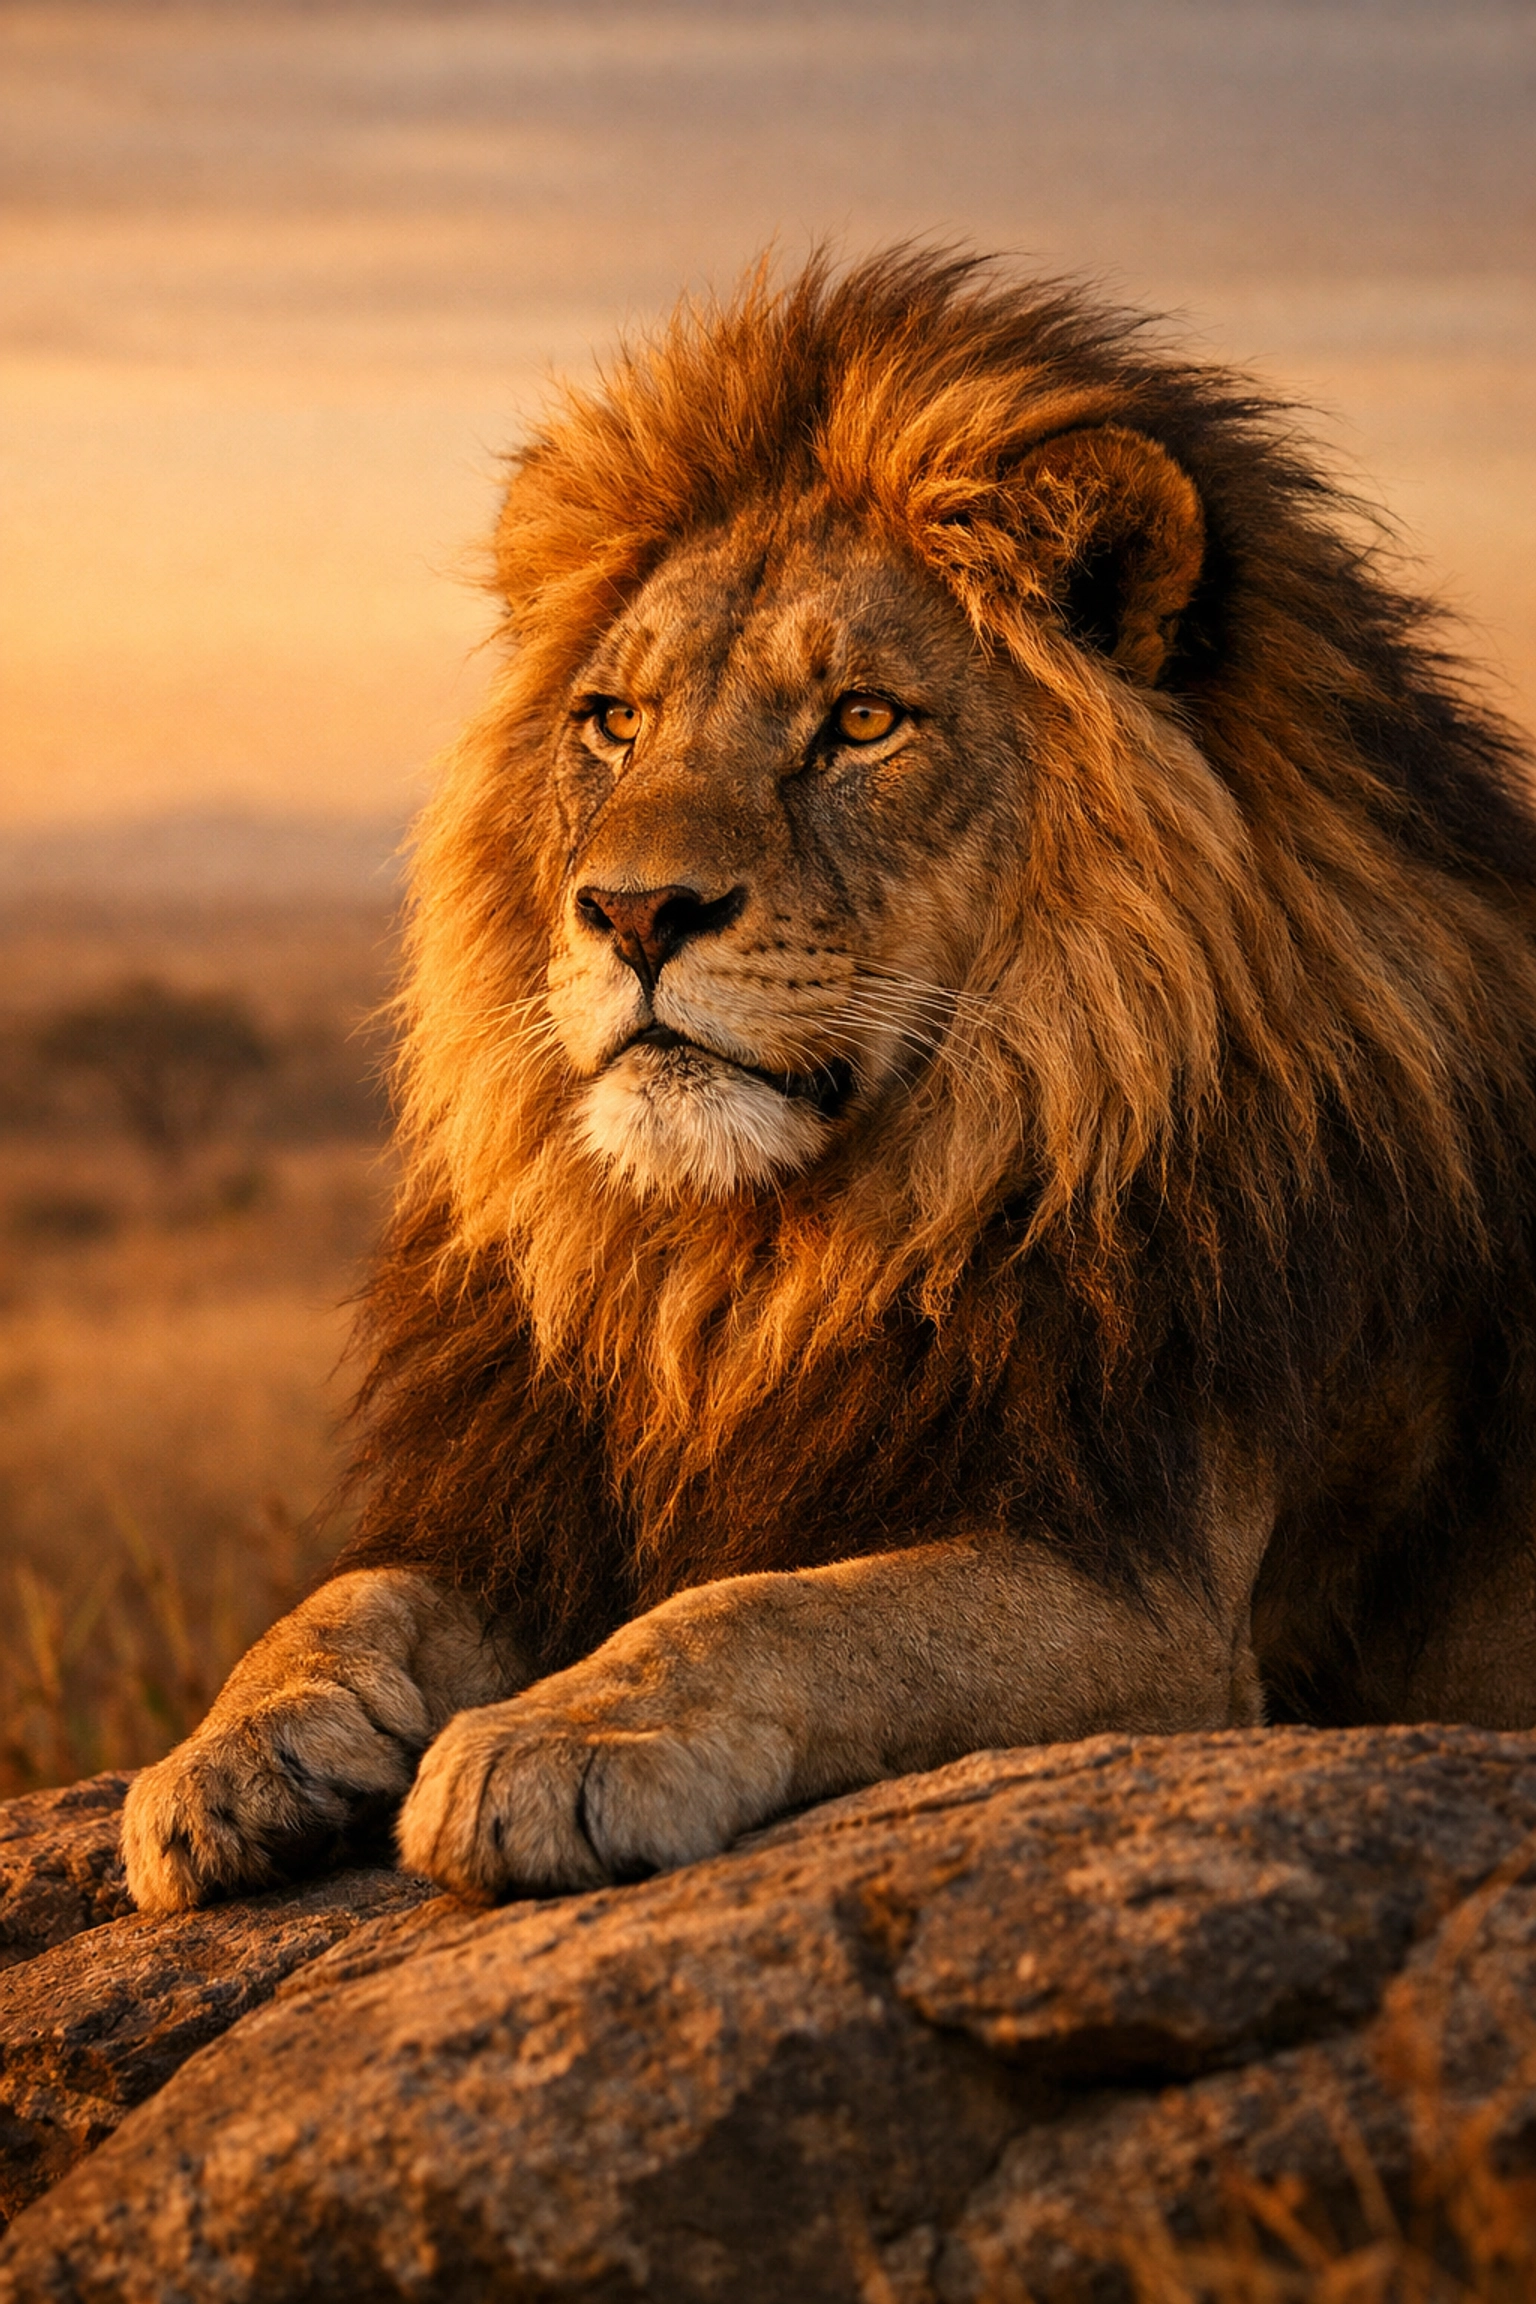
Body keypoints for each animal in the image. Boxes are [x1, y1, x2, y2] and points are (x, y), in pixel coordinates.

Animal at [123, 249, 1536, 1915]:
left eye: (861, 722)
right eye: (615, 722)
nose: (633, 913)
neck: (764, 1265)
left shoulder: (1162, 1609)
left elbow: (772, 1609)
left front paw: (564, 1739)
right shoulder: (548, 1496)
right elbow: (352, 1592)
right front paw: (229, 1755)